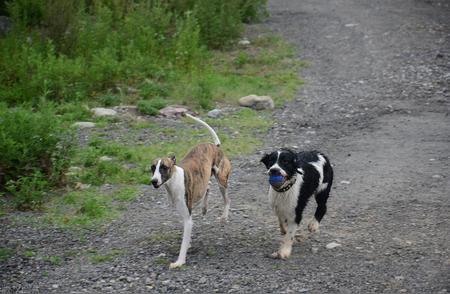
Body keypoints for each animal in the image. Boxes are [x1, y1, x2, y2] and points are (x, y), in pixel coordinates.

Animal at [151, 113, 230, 268]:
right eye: (152, 168)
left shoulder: (187, 219)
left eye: (164, 167)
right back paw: (204, 207)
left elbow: (183, 243)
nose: (154, 181)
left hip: (222, 180)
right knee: (208, 186)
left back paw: (224, 216)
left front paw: (179, 262)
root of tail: (215, 146)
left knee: (227, 199)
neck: (174, 181)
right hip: (206, 178)